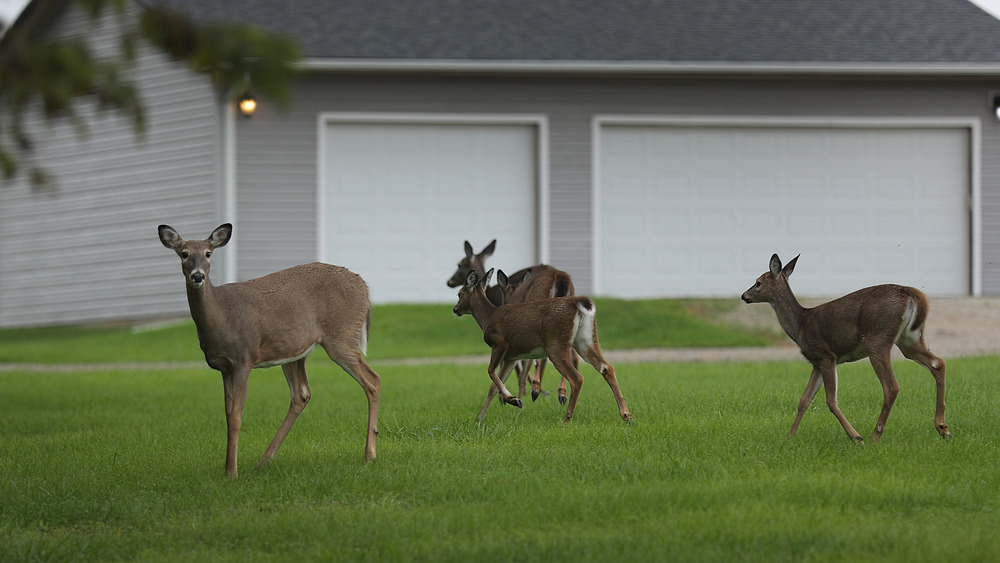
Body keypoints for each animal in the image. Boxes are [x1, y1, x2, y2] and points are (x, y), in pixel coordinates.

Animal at [158, 223, 380, 478]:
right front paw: (226, 468)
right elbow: (227, 415)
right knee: (302, 394)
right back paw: (264, 461)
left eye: (208, 253)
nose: (197, 275)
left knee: (373, 380)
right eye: (184, 253)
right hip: (295, 352)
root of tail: (364, 286)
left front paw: (232, 472)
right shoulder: (224, 367)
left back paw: (369, 455)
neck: (221, 316)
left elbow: (236, 417)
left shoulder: (244, 358)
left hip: (341, 337)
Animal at [454, 268, 632, 424]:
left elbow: (491, 372)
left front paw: (514, 400)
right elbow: (494, 386)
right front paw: (480, 417)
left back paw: (566, 419)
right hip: (586, 340)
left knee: (577, 378)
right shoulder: (512, 356)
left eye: (459, 294)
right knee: (606, 367)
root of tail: (578, 302)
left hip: (556, 345)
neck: (488, 318)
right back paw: (627, 416)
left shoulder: (500, 344)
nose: (455, 309)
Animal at [744, 252, 952, 446]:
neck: (801, 325)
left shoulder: (825, 355)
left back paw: (874, 437)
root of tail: (910, 293)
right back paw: (943, 428)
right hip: (909, 340)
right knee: (938, 363)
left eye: (758, 282)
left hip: (877, 339)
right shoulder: (816, 362)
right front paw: (790, 436)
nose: (744, 295)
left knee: (891, 386)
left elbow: (830, 400)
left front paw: (856, 437)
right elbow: (804, 400)